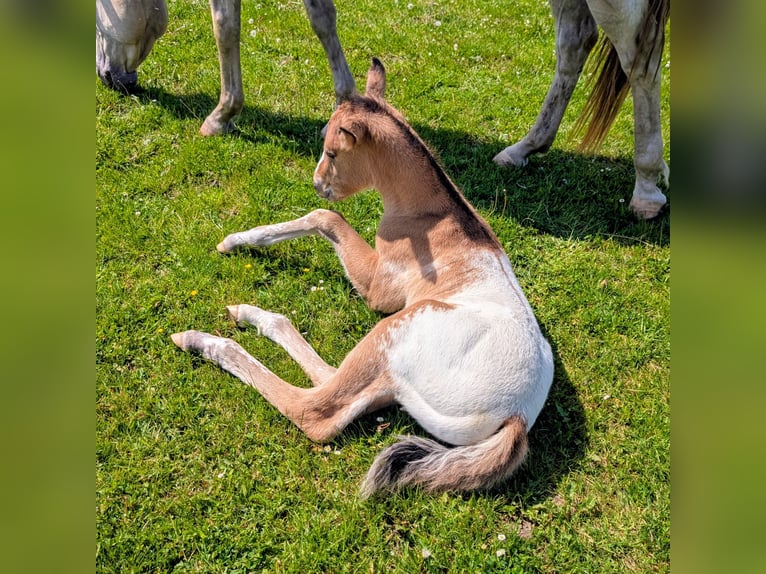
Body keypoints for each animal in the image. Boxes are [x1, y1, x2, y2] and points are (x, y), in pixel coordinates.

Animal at [96, 0, 355, 135]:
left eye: (97, 23)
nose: (104, 75)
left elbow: (225, 27)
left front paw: (221, 116)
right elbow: (322, 18)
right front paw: (343, 107)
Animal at [171, 58, 554, 497]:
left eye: (332, 151)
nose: (318, 183)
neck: (436, 215)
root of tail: (517, 417)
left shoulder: (378, 290)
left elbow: (326, 217)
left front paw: (234, 241)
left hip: (391, 332)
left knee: (315, 409)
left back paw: (200, 340)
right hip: (387, 381)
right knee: (328, 378)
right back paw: (251, 315)